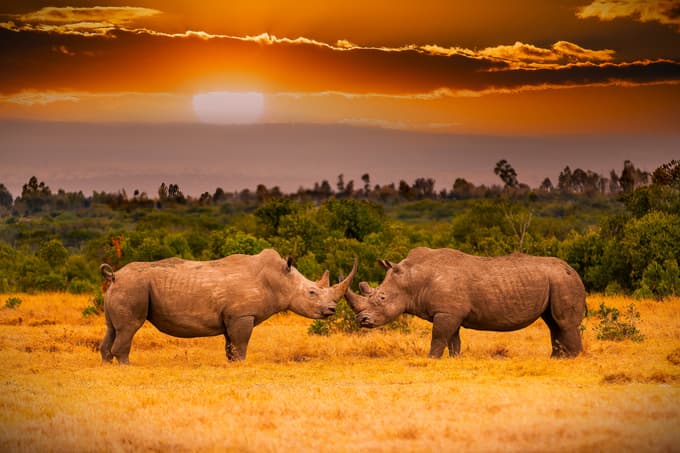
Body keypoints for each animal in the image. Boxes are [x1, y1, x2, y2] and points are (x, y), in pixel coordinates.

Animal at [99, 249, 356, 364]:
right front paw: (242, 364)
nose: (331, 311)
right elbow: (241, 344)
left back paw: (108, 365)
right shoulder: (243, 314)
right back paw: (126, 366)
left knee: (113, 329)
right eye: (312, 292)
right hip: (133, 287)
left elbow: (231, 345)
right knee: (129, 328)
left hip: (122, 289)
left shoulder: (232, 316)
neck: (280, 280)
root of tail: (114, 276)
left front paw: (232, 364)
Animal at [345, 247, 586, 358]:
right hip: (556, 280)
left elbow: (438, 337)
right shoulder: (451, 312)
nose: (361, 320)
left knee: (563, 322)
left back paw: (572, 359)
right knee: (552, 322)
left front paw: (431, 359)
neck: (412, 280)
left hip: (563, 280)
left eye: (381, 298)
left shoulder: (446, 312)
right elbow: (453, 339)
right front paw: (454, 359)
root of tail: (573, 270)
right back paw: (556, 359)